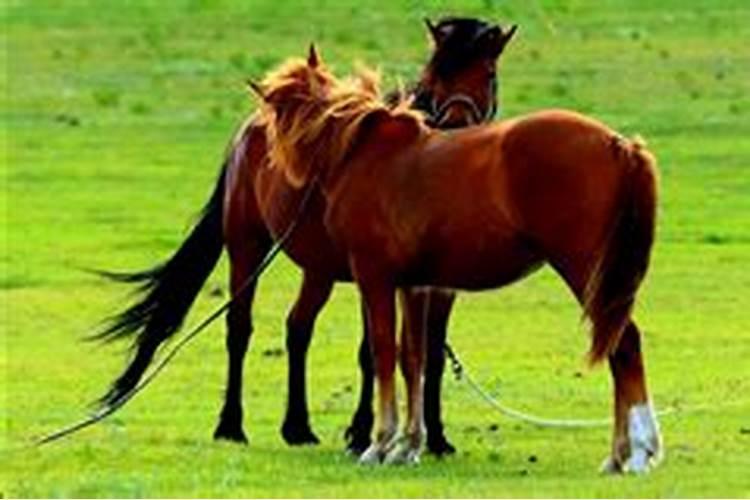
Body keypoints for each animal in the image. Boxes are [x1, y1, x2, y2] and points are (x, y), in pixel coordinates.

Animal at [92, 18, 517, 455]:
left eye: (488, 74)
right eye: (434, 74)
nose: (456, 127)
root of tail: (250, 127)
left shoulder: (438, 285)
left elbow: (428, 353)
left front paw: (435, 437)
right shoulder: (375, 271)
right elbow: (374, 349)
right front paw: (361, 432)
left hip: (319, 268)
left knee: (298, 327)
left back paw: (297, 426)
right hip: (247, 246)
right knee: (239, 328)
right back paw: (231, 425)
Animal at [253, 47, 663, 472]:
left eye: (271, 117)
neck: (364, 154)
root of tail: (618, 144)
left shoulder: (375, 278)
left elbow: (383, 353)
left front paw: (380, 443)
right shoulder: (414, 285)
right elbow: (411, 357)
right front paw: (407, 445)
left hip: (586, 270)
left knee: (624, 344)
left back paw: (638, 452)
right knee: (618, 345)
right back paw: (619, 455)